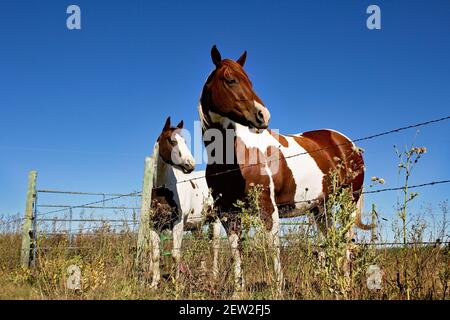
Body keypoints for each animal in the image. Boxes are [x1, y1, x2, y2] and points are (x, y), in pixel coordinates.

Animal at [199, 45, 370, 296]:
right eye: (230, 80)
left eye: (250, 80)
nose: (263, 115)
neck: (233, 155)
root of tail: (349, 143)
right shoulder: (227, 213)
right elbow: (235, 250)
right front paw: (238, 291)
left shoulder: (267, 208)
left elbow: (273, 248)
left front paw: (278, 290)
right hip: (320, 208)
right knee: (331, 238)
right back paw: (331, 284)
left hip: (348, 200)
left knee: (347, 239)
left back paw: (345, 284)